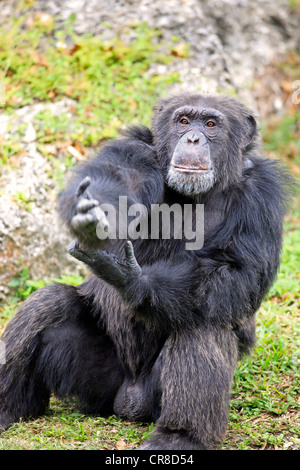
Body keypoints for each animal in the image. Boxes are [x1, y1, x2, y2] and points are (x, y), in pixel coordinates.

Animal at [0, 92, 290, 452]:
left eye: (211, 124)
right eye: (184, 121)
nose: (193, 138)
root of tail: (128, 400)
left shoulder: (263, 195)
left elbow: (240, 272)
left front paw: (135, 282)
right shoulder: (135, 152)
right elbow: (119, 178)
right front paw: (93, 212)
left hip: (150, 398)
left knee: (203, 323)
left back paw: (179, 436)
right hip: (99, 383)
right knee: (48, 304)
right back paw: (8, 407)